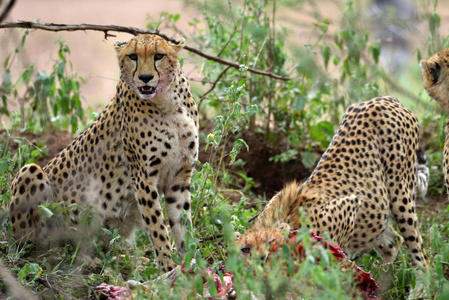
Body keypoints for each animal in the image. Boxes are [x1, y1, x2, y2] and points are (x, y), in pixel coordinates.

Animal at [7, 34, 198, 274]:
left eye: (159, 56)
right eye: (133, 56)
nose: (145, 78)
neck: (168, 102)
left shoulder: (179, 176)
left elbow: (183, 223)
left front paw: (191, 263)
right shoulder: (143, 177)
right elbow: (157, 227)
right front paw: (168, 268)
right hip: (30, 172)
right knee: (39, 246)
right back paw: (81, 258)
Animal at [234, 97, 428, 268]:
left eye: (271, 242)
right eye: (245, 249)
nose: (261, 259)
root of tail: (385, 99)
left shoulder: (351, 203)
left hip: (401, 196)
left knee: (420, 254)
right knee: (393, 241)